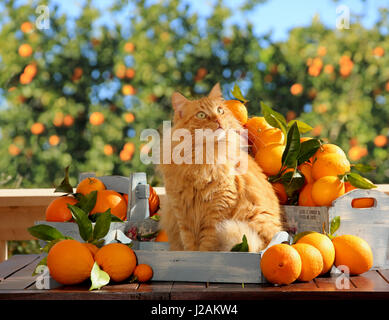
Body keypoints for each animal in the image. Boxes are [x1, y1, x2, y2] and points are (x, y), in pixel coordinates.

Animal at [158, 83, 282, 252]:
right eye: (201, 115)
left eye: (220, 111)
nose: (218, 120)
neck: (201, 160)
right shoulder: (182, 214)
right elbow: (189, 246)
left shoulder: (218, 208)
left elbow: (207, 245)